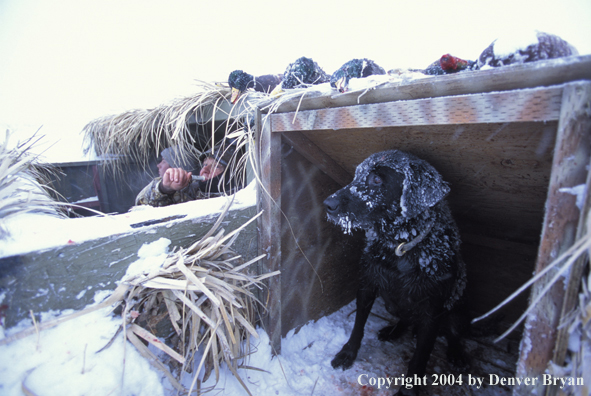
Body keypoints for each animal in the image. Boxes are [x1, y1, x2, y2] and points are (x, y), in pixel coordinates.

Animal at [324, 150, 468, 394]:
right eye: (356, 175)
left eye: (376, 179)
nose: (328, 204)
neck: (400, 247)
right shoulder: (367, 286)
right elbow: (358, 327)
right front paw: (347, 354)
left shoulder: (432, 311)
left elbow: (420, 356)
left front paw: (409, 390)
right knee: (406, 319)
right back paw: (393, 331)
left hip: (455, 308)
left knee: (454, 332)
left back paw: (456, 353)